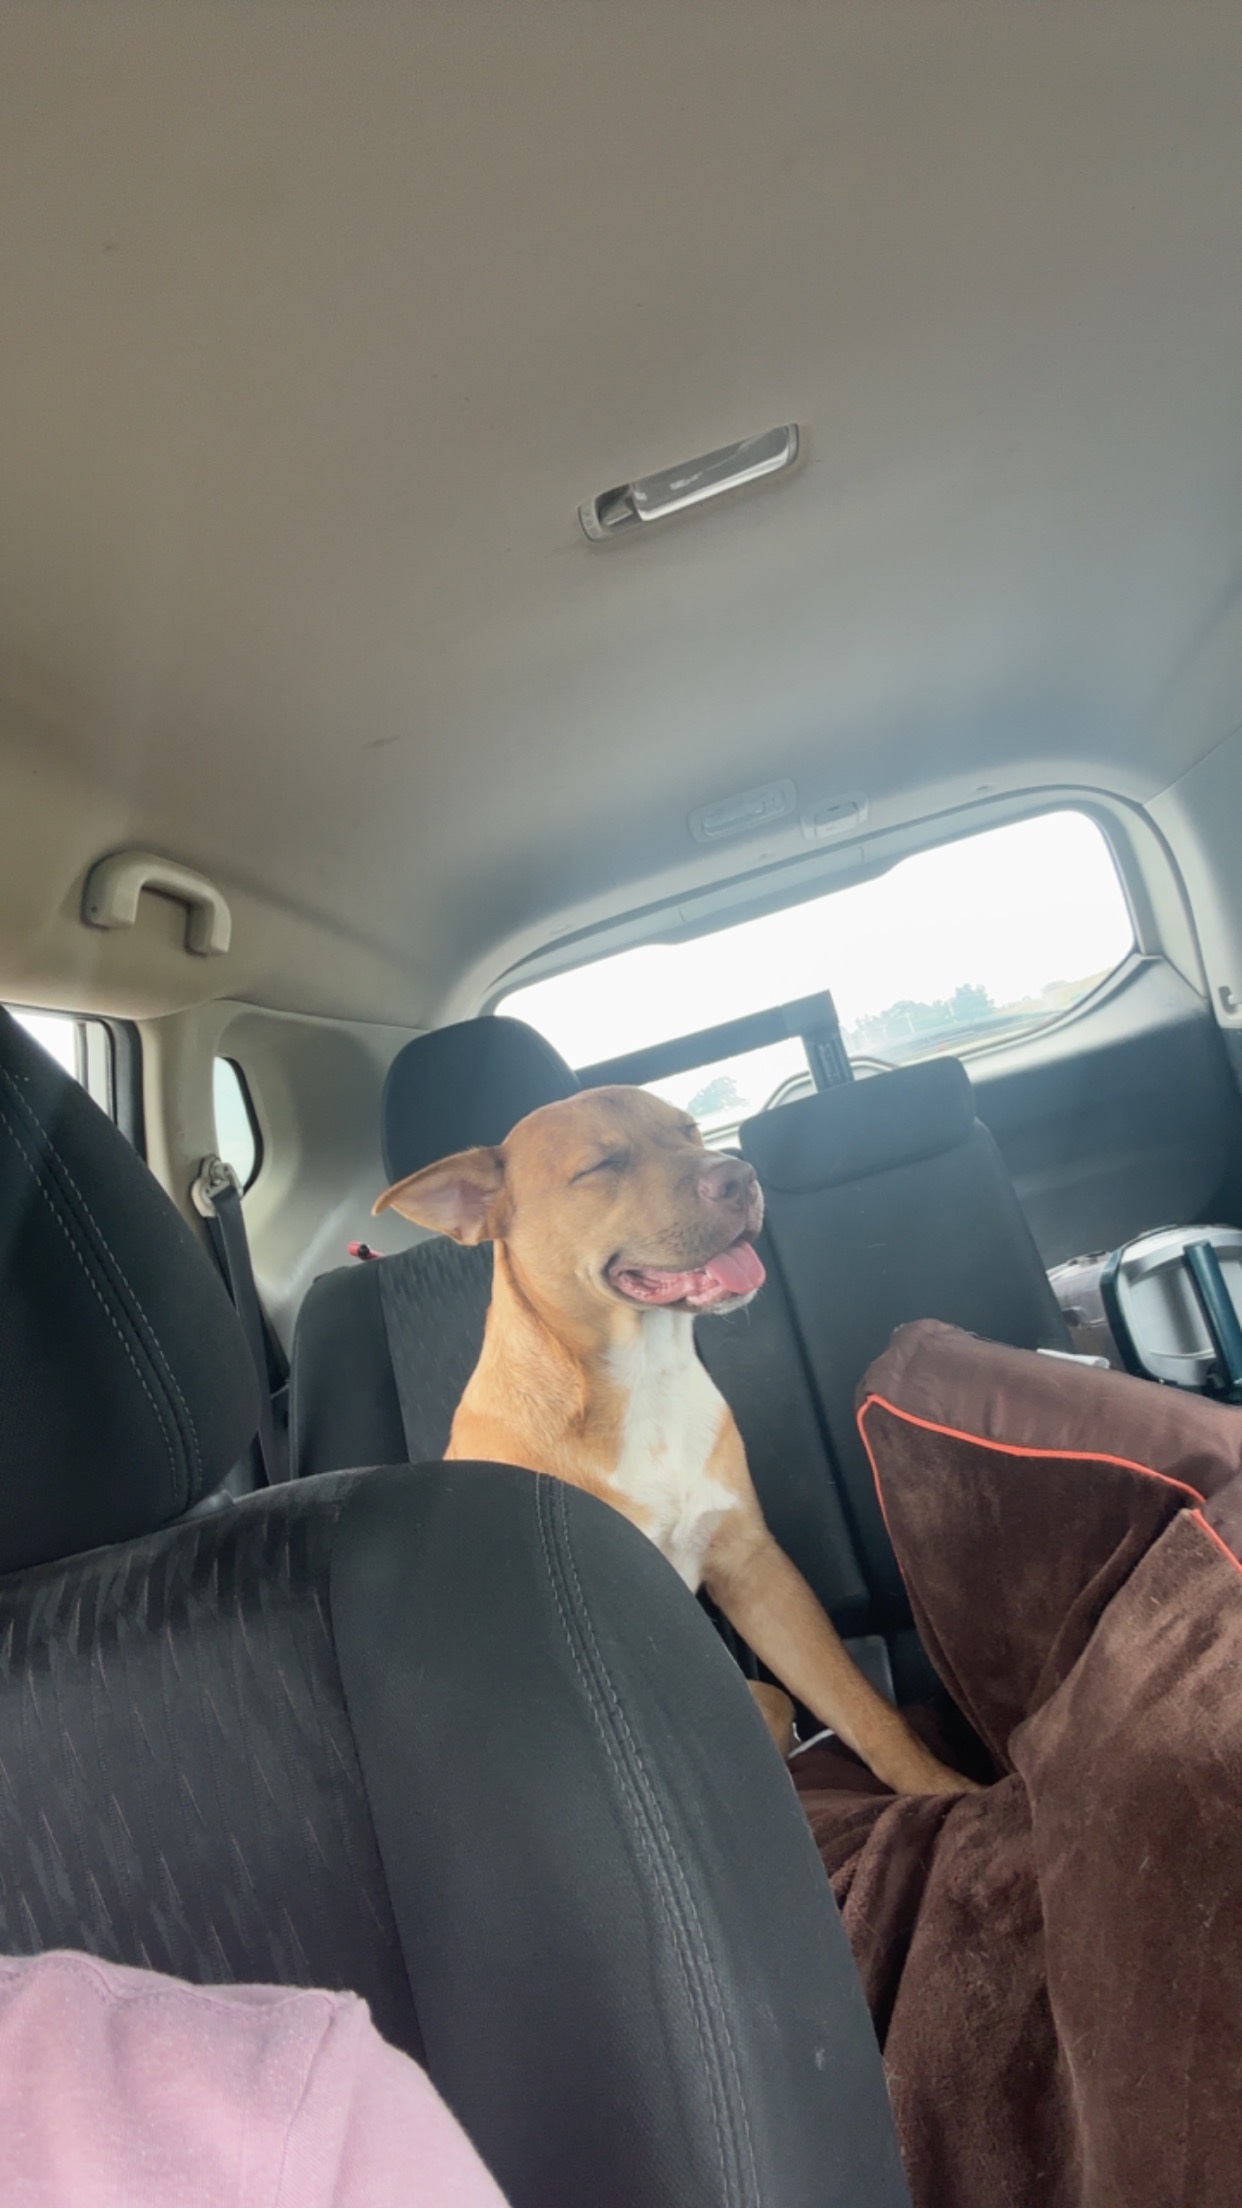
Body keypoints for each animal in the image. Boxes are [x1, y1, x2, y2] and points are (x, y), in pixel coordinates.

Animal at [374, 1085, 974, 1794]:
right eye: (601, 1165)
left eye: (687, 1130)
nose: (739, 1176)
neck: (641, 1377)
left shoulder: (753, 1567)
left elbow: (860, 1707)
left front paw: (946, 1790)